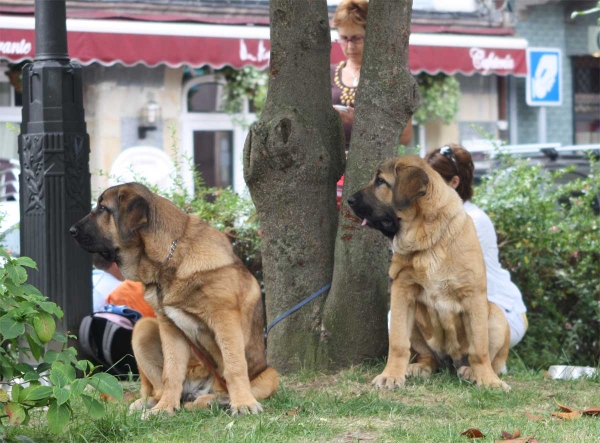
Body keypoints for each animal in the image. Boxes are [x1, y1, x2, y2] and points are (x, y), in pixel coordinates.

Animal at [71, 183, 278, 416]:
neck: (169, 260)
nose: (71, 231)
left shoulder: (225, 319)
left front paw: (243, 403)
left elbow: (235, 366)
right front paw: (165, 408)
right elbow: (171, 372)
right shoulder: (170, 326)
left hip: (270, 375)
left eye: (103, 209)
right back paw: (156, 402)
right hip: (143, 328)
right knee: (158, 388)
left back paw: (217, 400)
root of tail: (196, 389)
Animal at [346, 156, 510, 392]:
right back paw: (418, 367)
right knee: (427, 356)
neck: (428, 240)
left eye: (381, 181)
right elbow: (398, 342)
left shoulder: (474, 295)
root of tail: (450, 363)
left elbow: (479, 349)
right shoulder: (402, 291)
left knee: (488, 357)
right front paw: (391, 375)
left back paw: (472, 371)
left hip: (496, 316)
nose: (348, 200)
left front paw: (488, 381)